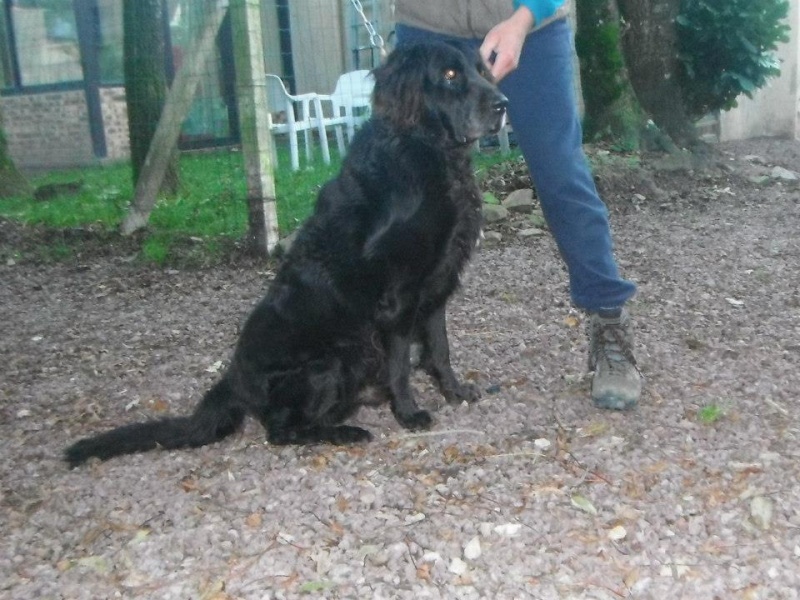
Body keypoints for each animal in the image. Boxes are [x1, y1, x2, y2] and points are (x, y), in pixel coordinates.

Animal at [65, 43, 510, 468]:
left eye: (481, 69)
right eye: (449, 75)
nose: (503, 104)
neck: (428, 149)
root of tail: (234, 380)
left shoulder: (437, 287)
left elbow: (439, 349)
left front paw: (455, 391)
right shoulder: (398, 298)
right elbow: (401, 365)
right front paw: (408, 413)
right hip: (336, 356)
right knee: (282, 430)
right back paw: (346, 432)